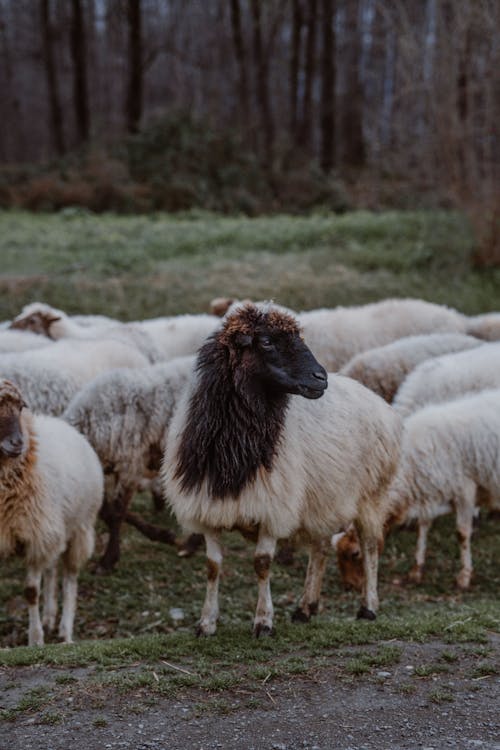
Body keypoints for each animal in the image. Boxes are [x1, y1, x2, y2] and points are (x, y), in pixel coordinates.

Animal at [0, 382, 103, 648]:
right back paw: (48, 616)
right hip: (56, 527)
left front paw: (35, 640)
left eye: (21, 407)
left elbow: (30, 592)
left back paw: (65, 631)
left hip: (79, 527)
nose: (18, 443)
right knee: (52, 568)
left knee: (69, 578)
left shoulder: (35, 537)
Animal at [162, 302, 400, 636]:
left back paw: (368, 607)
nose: (320, 378)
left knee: (369, 546)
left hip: (371, 495)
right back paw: (305, 607)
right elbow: (213, 567)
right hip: (321, 497)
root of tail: (380, 403)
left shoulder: (271, 508)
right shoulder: (208, 508)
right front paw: (206, 623)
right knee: (320, 547)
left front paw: (263, 621)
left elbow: (262, 564)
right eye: (266, 342)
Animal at [388, 390, 500, 592]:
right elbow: (423, 525)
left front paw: (464, 577)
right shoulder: (431, 491)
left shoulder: (464, 488)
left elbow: (462, 533)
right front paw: (417, 569)